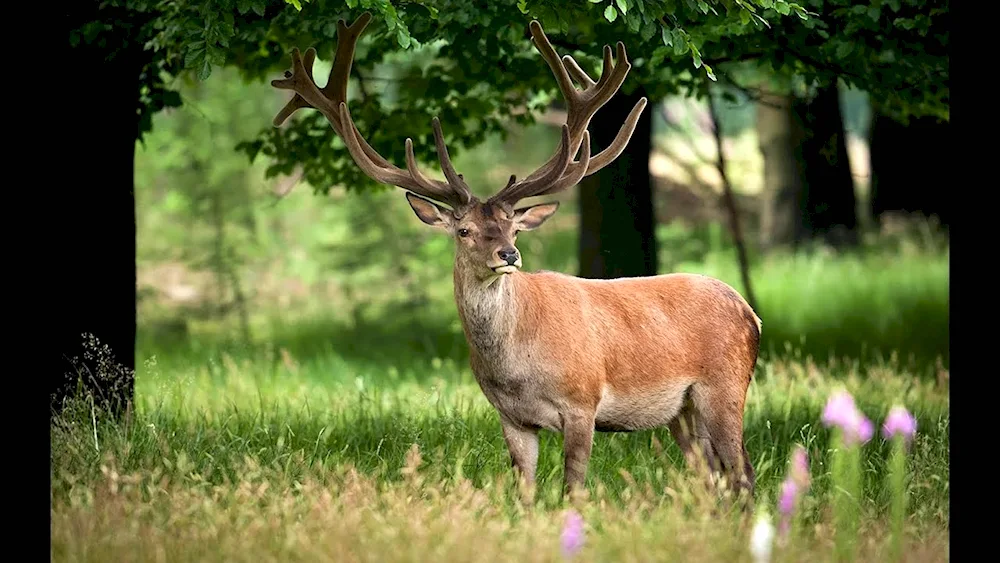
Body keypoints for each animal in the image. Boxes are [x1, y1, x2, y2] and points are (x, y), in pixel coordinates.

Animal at [270, 12, 760, 502]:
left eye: (513, 226)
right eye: (464, 230)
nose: (509, 253)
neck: (515, 368)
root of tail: (749, 312)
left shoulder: (582, 401)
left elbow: (573, 484)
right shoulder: (511, 417)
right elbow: (523, 486)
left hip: (725, 385)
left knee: (741, 470)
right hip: (683, 412)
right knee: (715, 474)